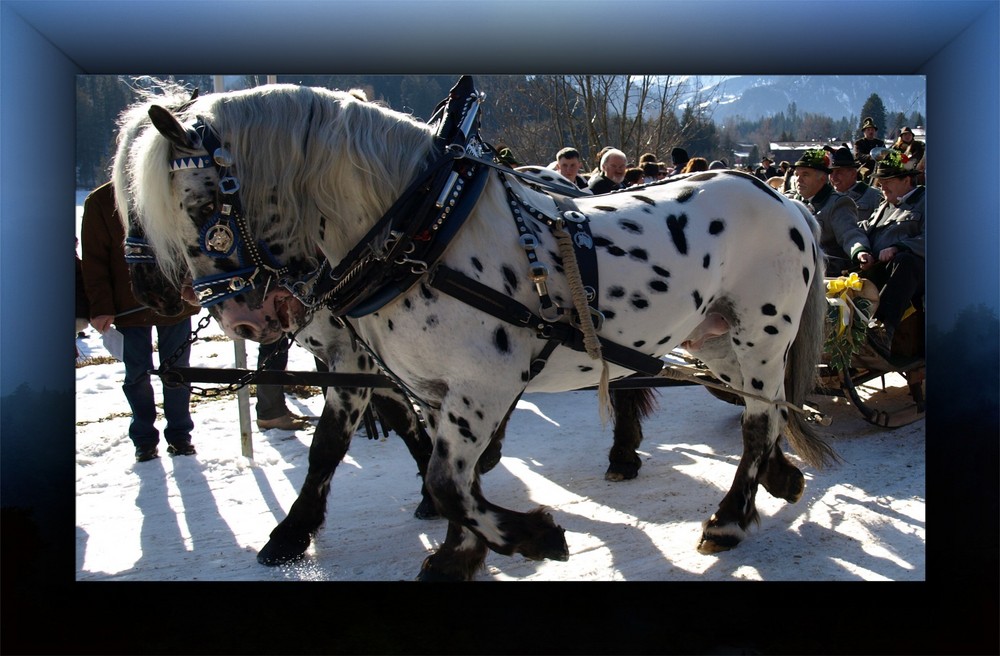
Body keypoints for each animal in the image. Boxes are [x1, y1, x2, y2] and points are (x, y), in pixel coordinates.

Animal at [115, 75, 836, 580]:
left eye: (201, 206)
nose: (242, 317)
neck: (424, 229)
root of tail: (785, 199)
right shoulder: (418, 382)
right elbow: (442, 475)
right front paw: (461, 551)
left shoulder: (479, 385)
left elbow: (444, 478)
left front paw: (533, 536)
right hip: (713, 339)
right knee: (763, 408)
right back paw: (778, 479)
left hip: (759, 336)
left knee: (757, 420)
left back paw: (731, 519)